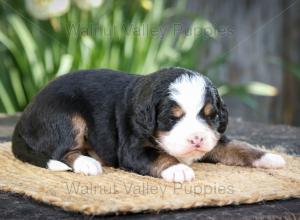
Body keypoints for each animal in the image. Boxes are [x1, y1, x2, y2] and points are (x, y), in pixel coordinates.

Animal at [11, 68, 284, 183]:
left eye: (210, 115)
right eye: (172, 118)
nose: (196, 139)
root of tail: (24, 118)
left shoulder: (214, 138)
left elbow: (238, 146)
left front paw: (269, 157)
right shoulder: (133, 149)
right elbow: (159, 156)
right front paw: (178, 169)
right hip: (67, 117)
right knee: (62, 152)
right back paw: (88, 163)